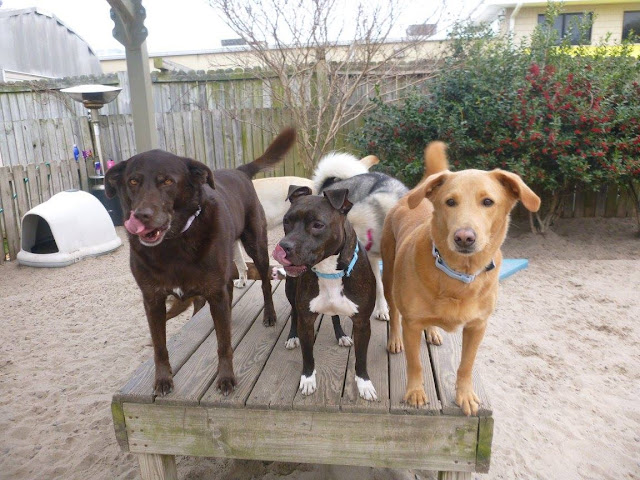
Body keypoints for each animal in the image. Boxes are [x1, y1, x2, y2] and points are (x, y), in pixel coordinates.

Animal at [104, 128, 296, 396]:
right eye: (133, 181)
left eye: (167, 181)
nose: (141, 216)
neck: (173, 243)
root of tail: (239, 171)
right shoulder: (153, 300)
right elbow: (159, 347)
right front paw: (163, 379)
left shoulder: (213, 291)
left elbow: (224, 345)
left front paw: (226, 378)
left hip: (255, 245)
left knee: (266, 283)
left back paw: (269, 315)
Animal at [271, 185, 378, 401]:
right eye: (286, 221)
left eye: (318, 225)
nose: (283, 247)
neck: (328, 270)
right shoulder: (306, 320)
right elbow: (307, 355)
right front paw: (308, 379)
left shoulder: (362, 323)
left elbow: (361, 358)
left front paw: (364, 383)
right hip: (291, 293)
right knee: (294, 313)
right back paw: (292, 337)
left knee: (335, 315)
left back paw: (341, 335)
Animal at [381, 141, 541, 415]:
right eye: (450, 202)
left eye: (488, 201)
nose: (464, 237)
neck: (459, 274)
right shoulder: (412, 325)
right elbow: (415, 363)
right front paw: (415, 392)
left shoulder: (477, 326)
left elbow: (466, 365)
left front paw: (464, 395)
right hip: (388, 276)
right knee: (393, 311)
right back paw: (394, 339)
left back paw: (433, 331)